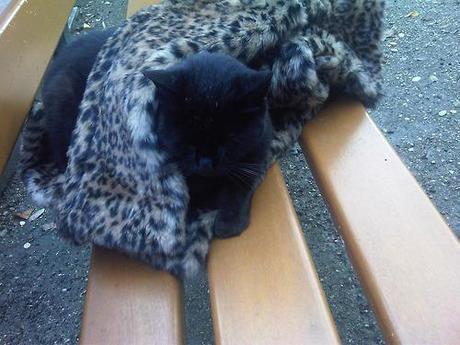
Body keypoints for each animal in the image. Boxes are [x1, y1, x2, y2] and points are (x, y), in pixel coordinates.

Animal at [145, 52, 274, 238]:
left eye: (230, 141)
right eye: (186, 141)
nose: (205, 163)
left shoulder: (259, 147)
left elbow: (242, 183)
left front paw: (230, 222)